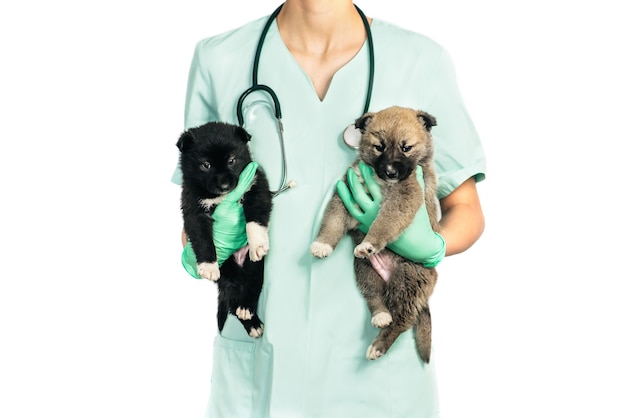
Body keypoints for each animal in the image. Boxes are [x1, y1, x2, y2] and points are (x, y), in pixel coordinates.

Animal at [177, 121, 272, 336]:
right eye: (206, 165)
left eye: (232, 160)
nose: (225, 185)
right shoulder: (193, 209)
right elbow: (202, 238)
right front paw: (208, 265)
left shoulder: (257, 185)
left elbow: (254, 219)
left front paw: (257, 243)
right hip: (228, 272)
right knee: (232, 297)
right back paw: (250, 320)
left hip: (256, 267)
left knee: (253, 283)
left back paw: (247, 309)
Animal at [308, 105, 436, 362]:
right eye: (379, 146)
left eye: (406, 147)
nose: (390, 172)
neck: (380, 181)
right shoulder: (346, 192)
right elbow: (332, 221)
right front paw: (323, 243)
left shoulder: (404, 195)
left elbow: (383, 222)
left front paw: (370, 242)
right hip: (365, 270)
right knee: (375, 296)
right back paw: (380, 315)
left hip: (408, 277)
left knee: (402, 319)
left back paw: (379, 345)